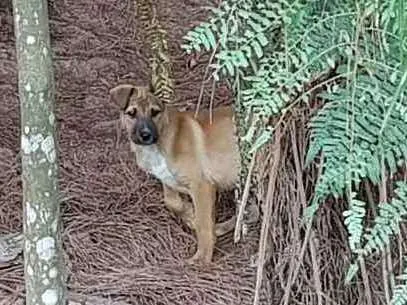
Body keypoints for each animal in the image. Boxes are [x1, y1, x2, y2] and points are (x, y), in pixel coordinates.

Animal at [108, 83, 242, 264]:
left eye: (155, 112)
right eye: (131, 113)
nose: (146, 135)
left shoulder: (202, 185)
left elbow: (203, 224)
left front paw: (202, 259)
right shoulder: (167, 179)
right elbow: (172, 202)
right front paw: (189, 214)